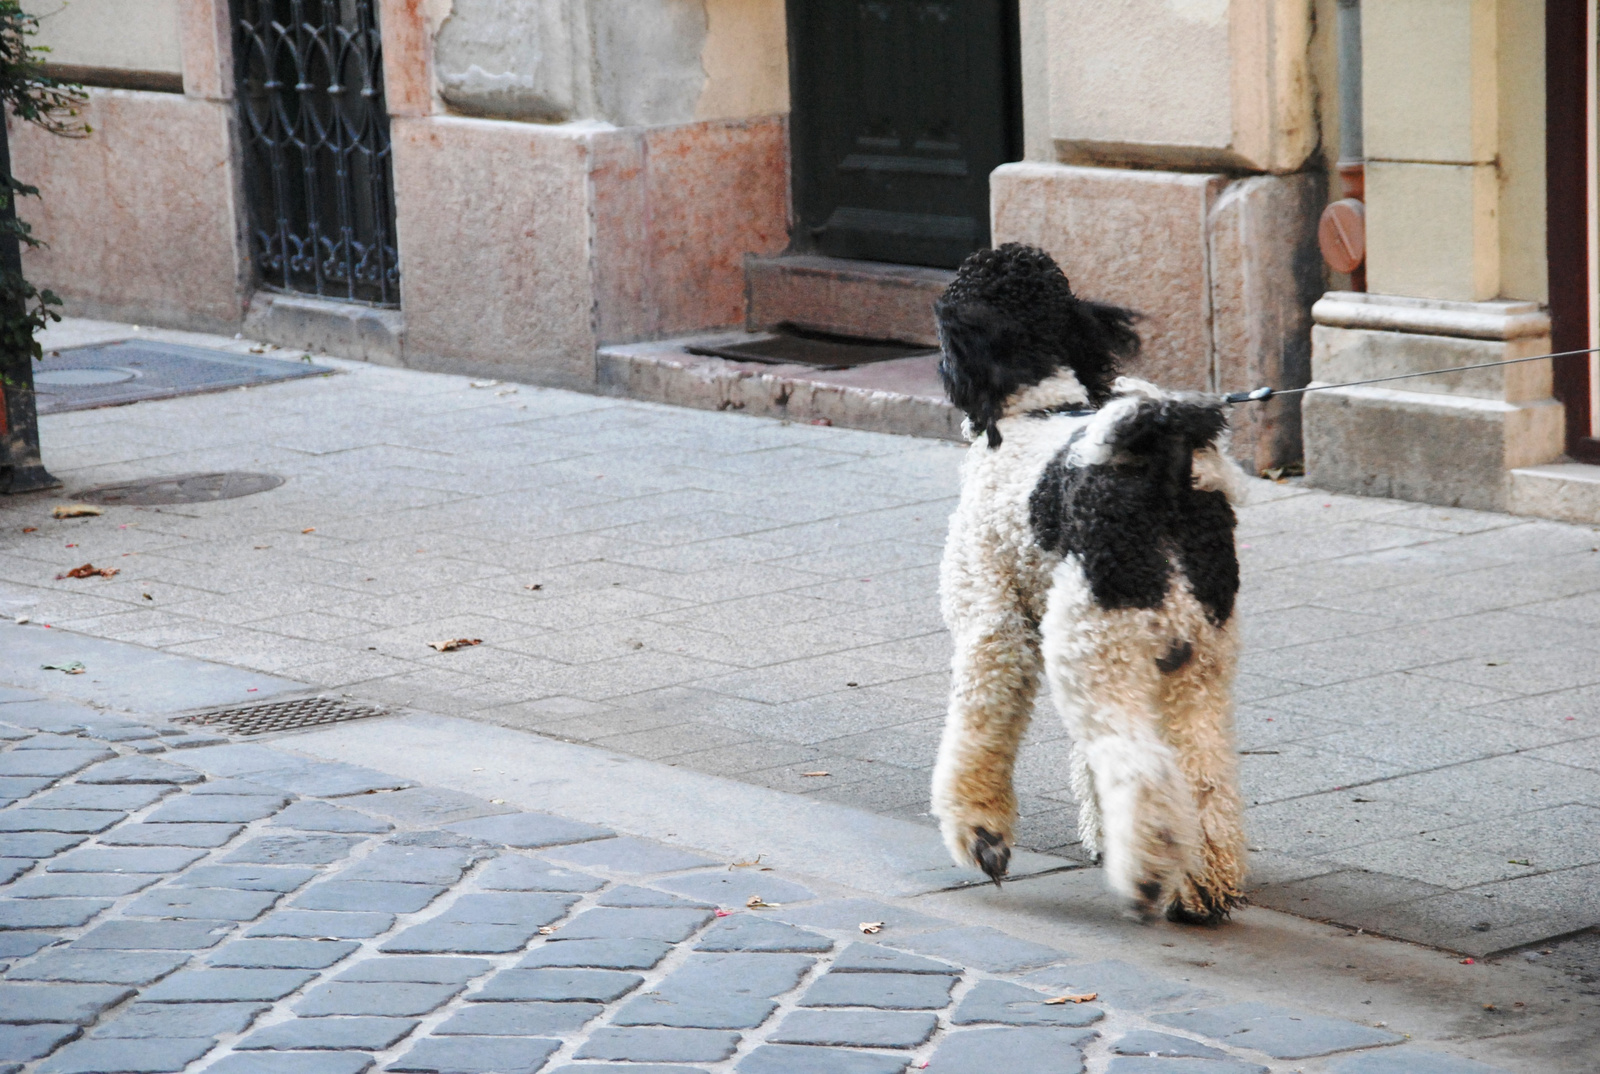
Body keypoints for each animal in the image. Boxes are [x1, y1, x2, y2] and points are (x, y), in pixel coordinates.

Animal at [928, 241, 1248, 921]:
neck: (1037, 406)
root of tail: (1163, 477)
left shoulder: (994, 629)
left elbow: (979, 729)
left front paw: (982, 833)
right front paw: (1104, 834)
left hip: (1093, 648)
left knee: (1139, 766)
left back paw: (1149, 872)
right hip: (1194, 664)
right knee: (1202, 776)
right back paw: (1202, 882)